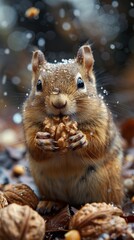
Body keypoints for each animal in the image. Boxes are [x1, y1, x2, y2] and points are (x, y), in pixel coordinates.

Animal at [22, 44, 123, 212]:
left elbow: (98, 144)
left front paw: (81, 138)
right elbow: (33, 147)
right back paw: (49, 202)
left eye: (81, 83)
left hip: (109, 182)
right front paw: (41, 140)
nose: (59, 103)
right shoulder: (28, 122)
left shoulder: (101, 122)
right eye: (38, 85)